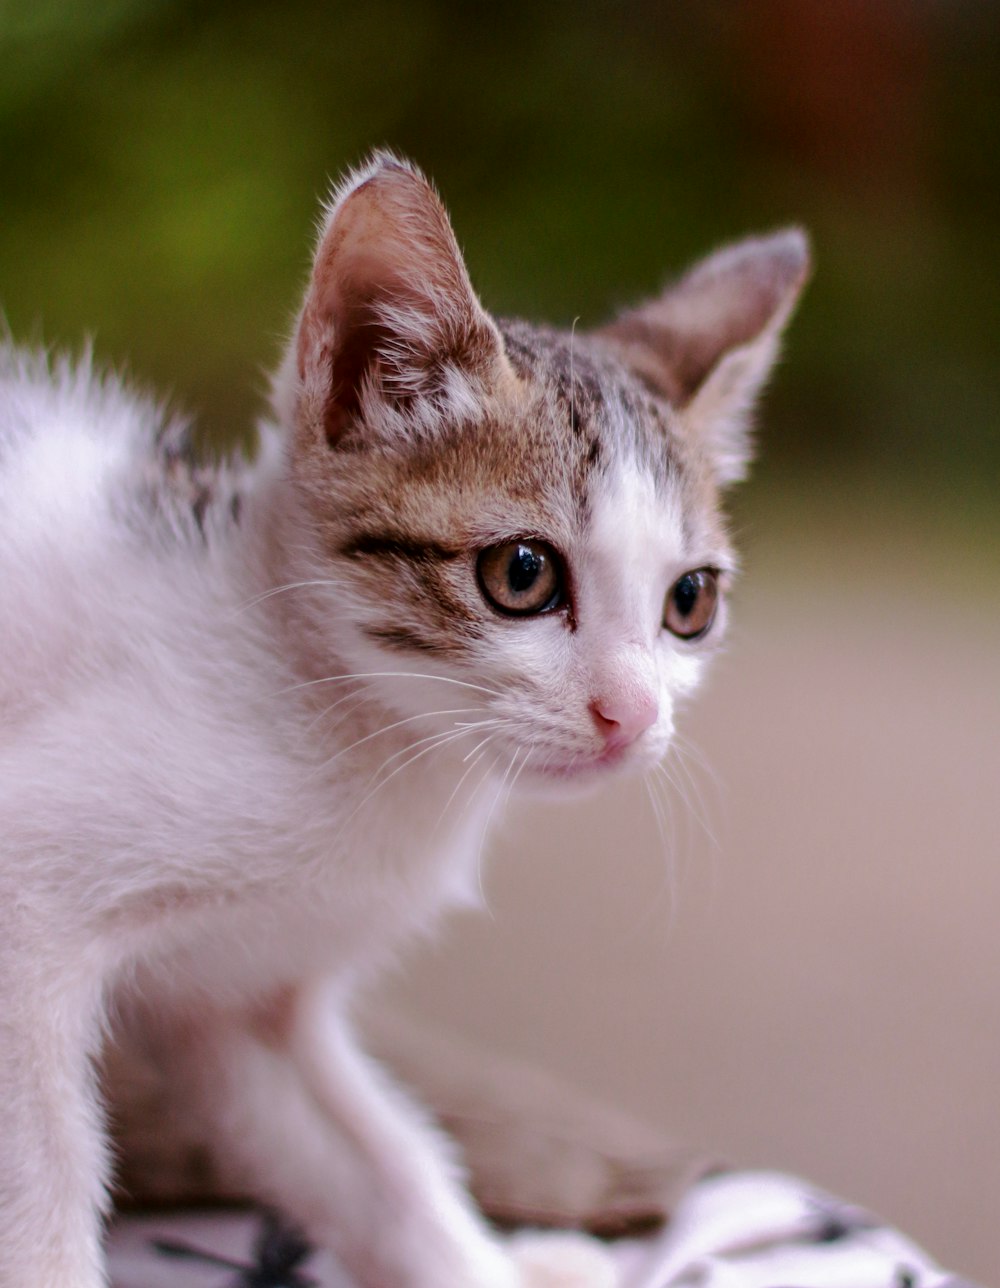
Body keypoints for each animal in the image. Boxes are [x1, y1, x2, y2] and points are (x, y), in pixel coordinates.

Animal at [0, 153, 804, 1288]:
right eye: (522, 573)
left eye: (689, 600)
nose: (633, 714)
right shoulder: (23, 897)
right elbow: (43, 1178)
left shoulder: (239, 1001)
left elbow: (380, 1168)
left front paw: (488, 1265)